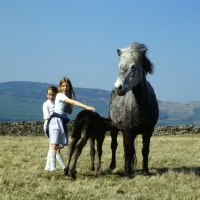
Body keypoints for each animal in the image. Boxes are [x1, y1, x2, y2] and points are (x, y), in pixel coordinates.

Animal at [108, 41, 159, 178]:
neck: (142, 105)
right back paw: (112, 166)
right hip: (114, 129)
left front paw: (145, 171)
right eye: (119, 66)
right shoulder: (130, 130)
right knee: (114, 146)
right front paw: (128, 174)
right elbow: (130, 150)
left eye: (133, 66)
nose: (118, 87)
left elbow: (145, 150)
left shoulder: (148, 131)